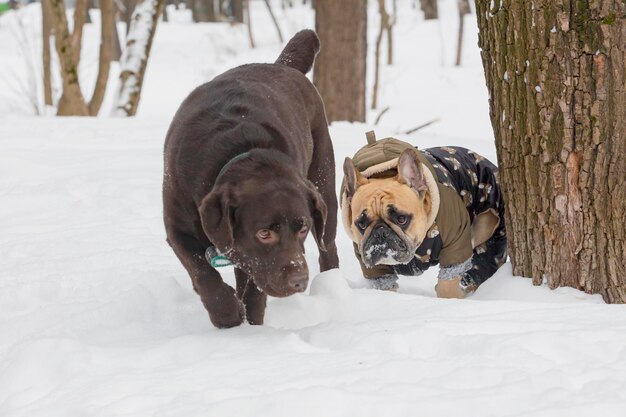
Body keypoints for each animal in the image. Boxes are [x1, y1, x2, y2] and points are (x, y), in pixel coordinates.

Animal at [161, 30, 336, 328]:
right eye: (264, 233)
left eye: (302, 228)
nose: (299, 280)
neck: (239, 152)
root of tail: (281, 65)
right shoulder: (177, 228)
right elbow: (202, 272)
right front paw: (227, 315)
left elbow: (254, 288)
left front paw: (251, 327)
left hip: (324, 185)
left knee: (328, 244)